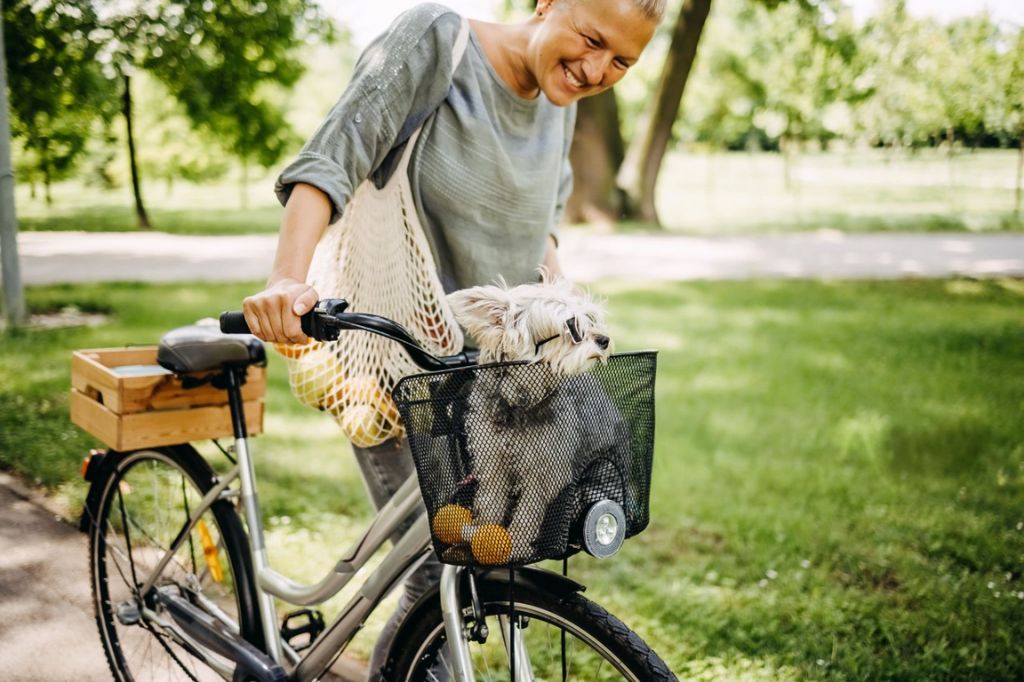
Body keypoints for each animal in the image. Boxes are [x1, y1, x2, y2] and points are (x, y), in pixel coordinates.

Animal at [450, 274, 622, 561]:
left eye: (589, 319)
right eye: (572, 328)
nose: (604, 339)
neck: (518, 404)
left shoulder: (542, 473)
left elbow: (527, 514)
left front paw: (517, 545)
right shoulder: (491, 464)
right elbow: (489, 502)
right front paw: (482, 535)